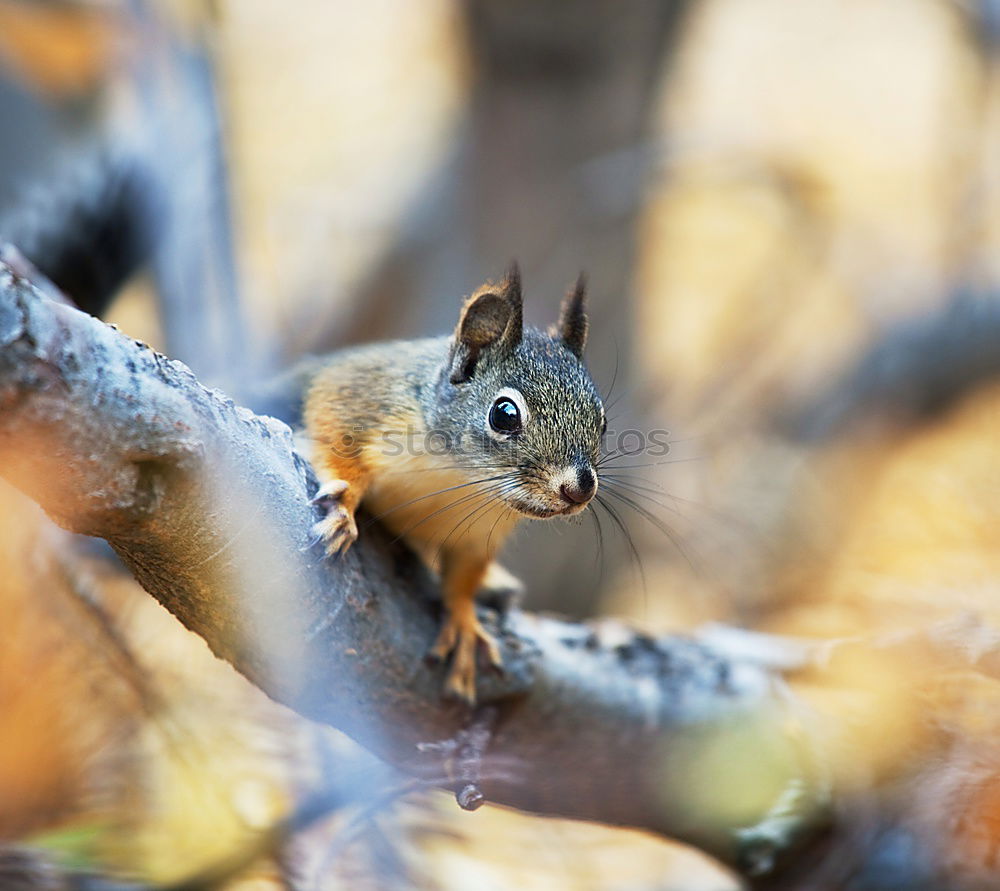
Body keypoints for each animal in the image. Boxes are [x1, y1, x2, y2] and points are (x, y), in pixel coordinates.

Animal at [304, 264, 600, 704]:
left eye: (602, 420)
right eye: (504, 414)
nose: (579, 489)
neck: (461, 478)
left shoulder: (478, 534)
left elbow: (463, 575)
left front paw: (463, 621)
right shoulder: (363, 396)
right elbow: (331, 431)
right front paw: (344, 505)